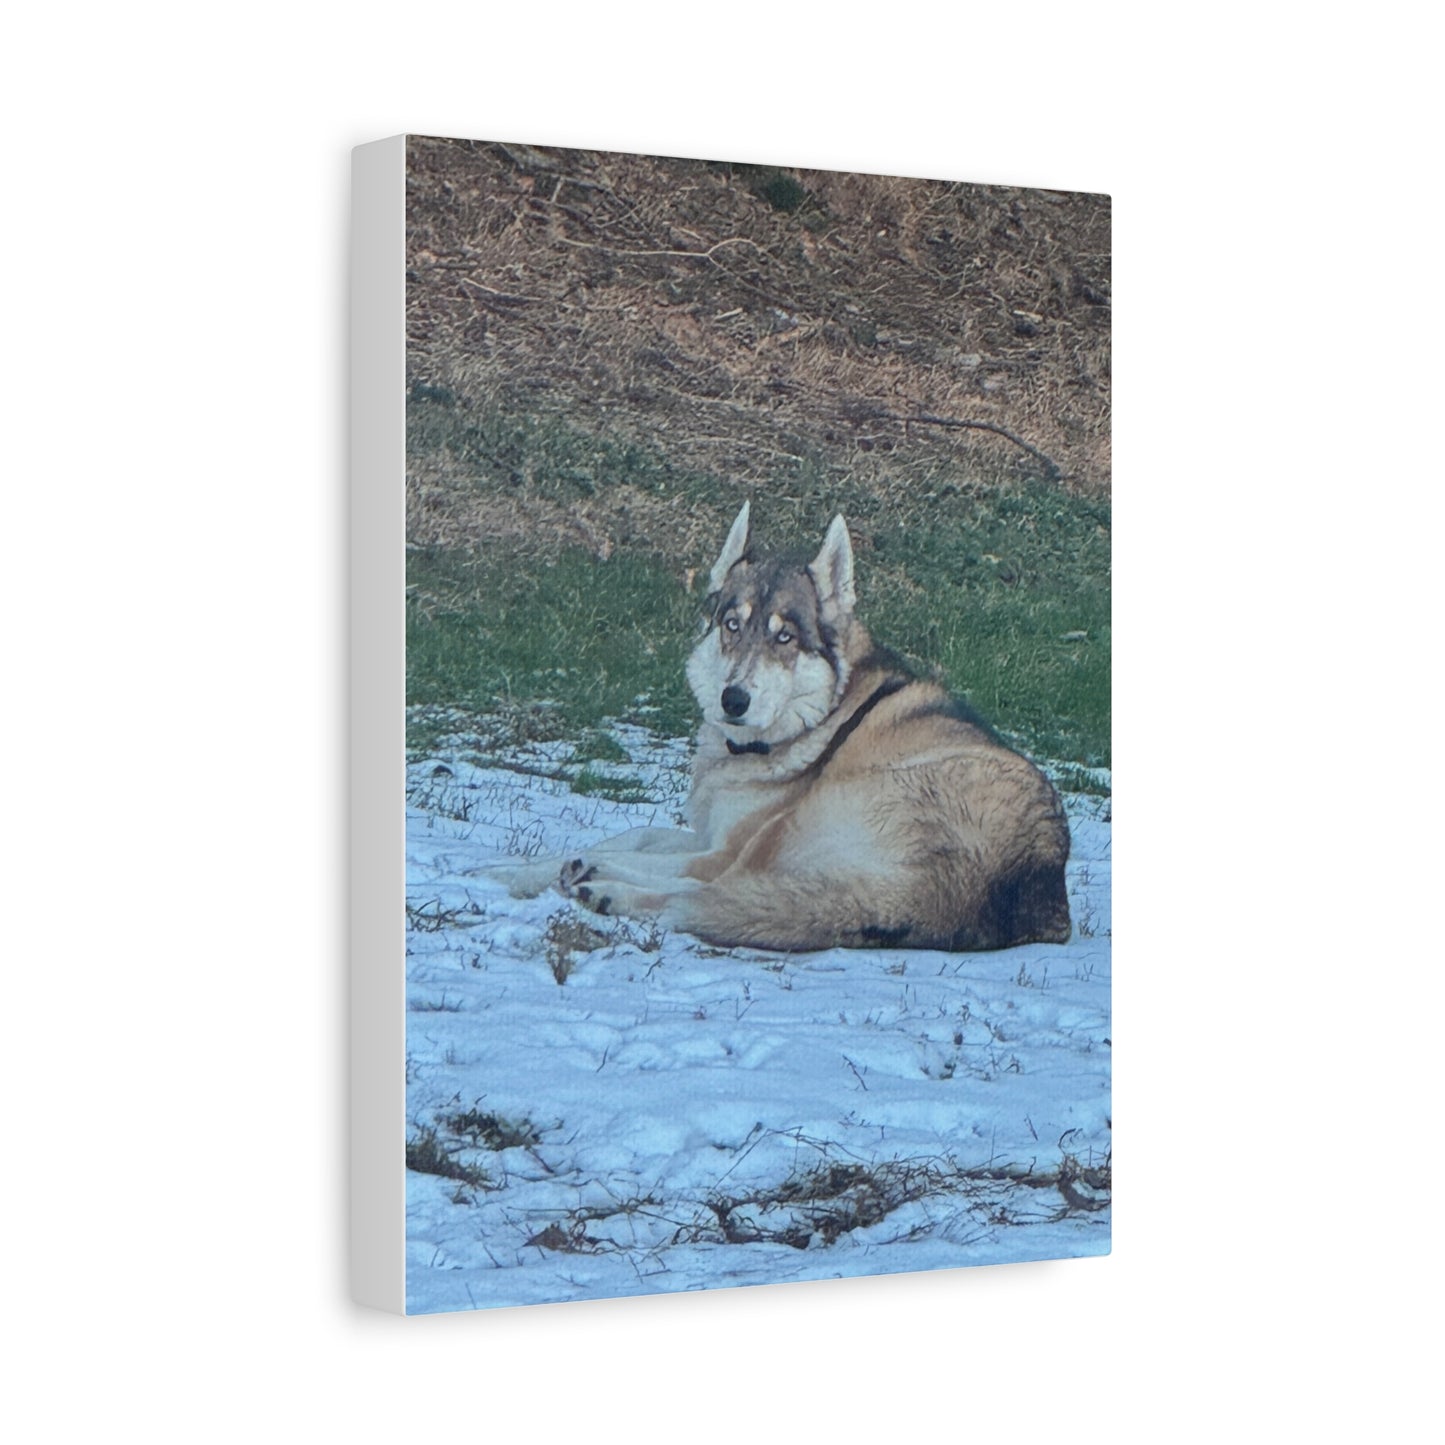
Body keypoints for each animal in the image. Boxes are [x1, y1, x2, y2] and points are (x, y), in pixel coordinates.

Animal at [493, 502, 1072, 952]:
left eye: (784, 637)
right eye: (732, 625)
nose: (733, 699)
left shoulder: (724, 847)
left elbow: (630, 852)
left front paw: (549, 870)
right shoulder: (710, 832)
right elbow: (635, 834)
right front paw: (507, 869)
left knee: (704, 889)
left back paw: (604, 888)